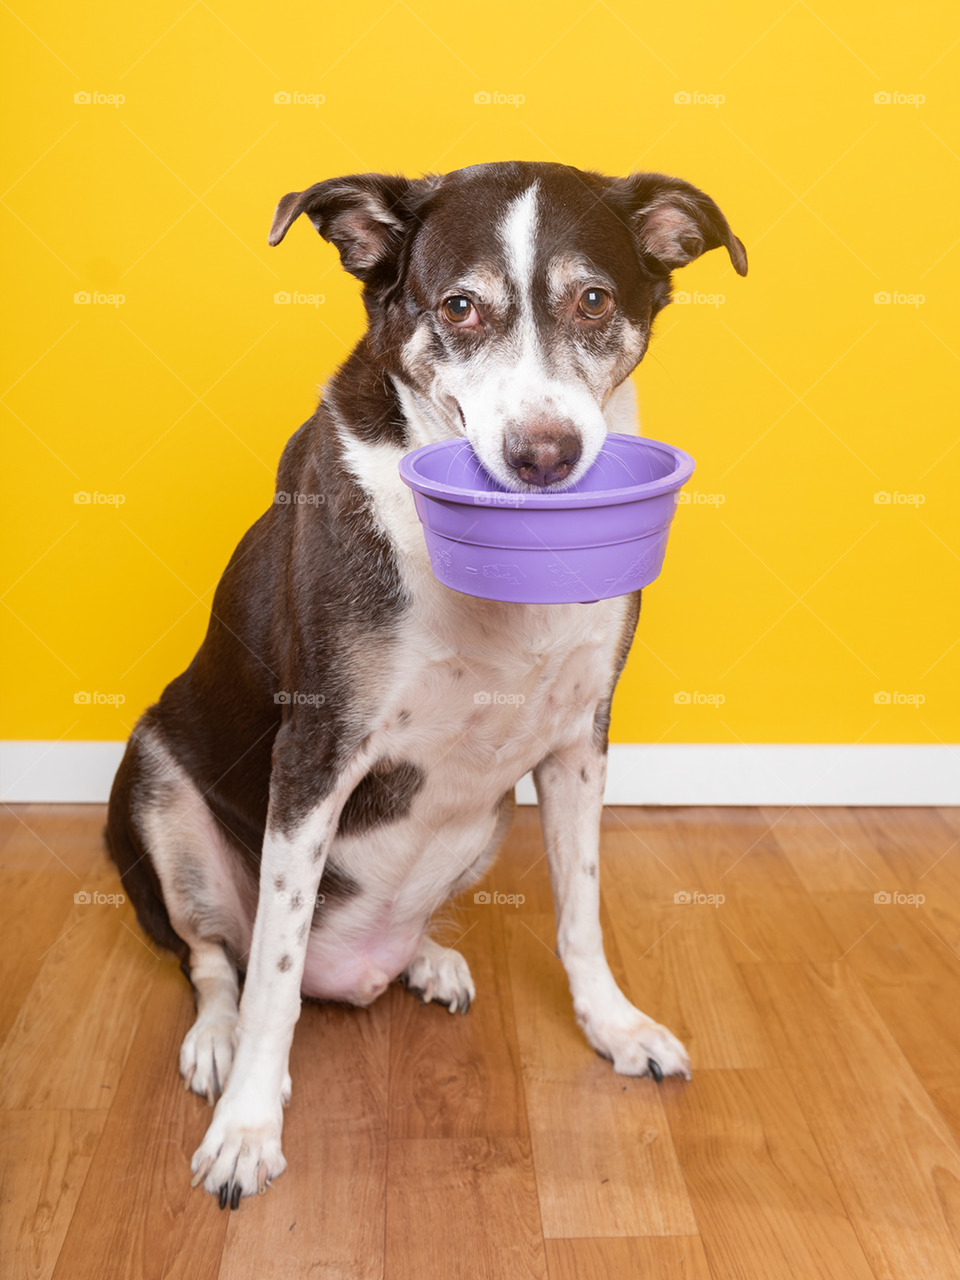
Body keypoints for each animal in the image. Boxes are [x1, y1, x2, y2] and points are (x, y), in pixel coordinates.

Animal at [108, 154, 747, 1203]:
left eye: (594, 299)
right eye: (459, 307)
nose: (545, 457)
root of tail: (353, 972)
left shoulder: (581, 740)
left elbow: (581, 911)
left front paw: (612, 1025)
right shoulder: (317, 752)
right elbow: (271, 975)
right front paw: (248, 1127)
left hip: (486, 820)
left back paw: (427, 959)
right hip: (157, 784)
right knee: (216, 958)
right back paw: (217, 1041)